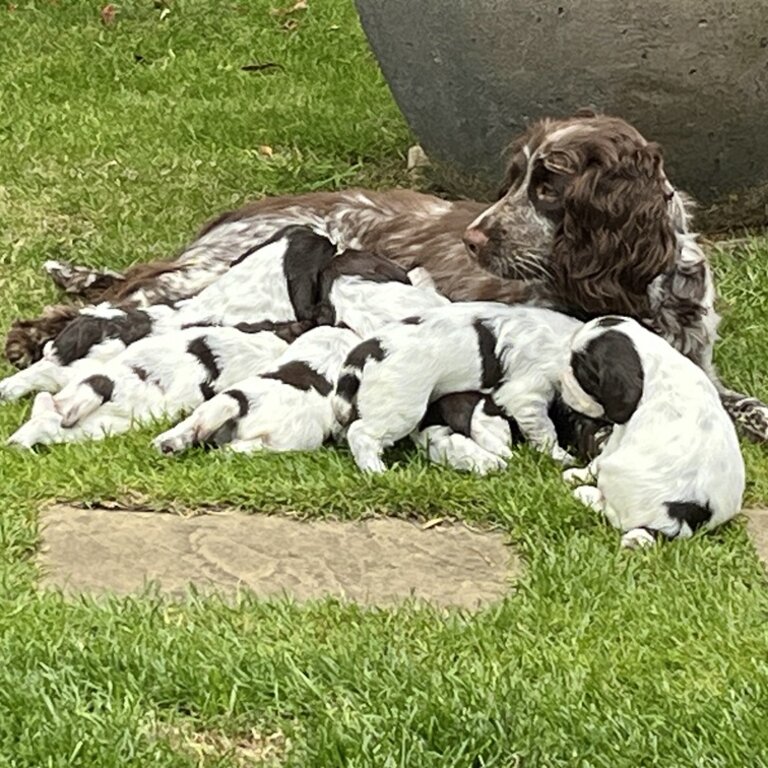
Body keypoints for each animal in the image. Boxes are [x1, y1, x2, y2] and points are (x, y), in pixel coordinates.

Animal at [332, 302, 584, 472]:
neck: (566, 342)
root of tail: (367, 350)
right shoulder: (526, 396)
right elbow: (544, 431)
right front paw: (561, 456)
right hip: (401, 407)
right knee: (361, 433)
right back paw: (375, 470)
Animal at [560, 316, 744, 544]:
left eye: (580, 371)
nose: (562, 375)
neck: (652, 362)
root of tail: (682, 521)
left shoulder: (620, 432)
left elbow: (598, 460)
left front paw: (578, 475)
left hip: (616, 474)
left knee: (615, 516)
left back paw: (587, 494)